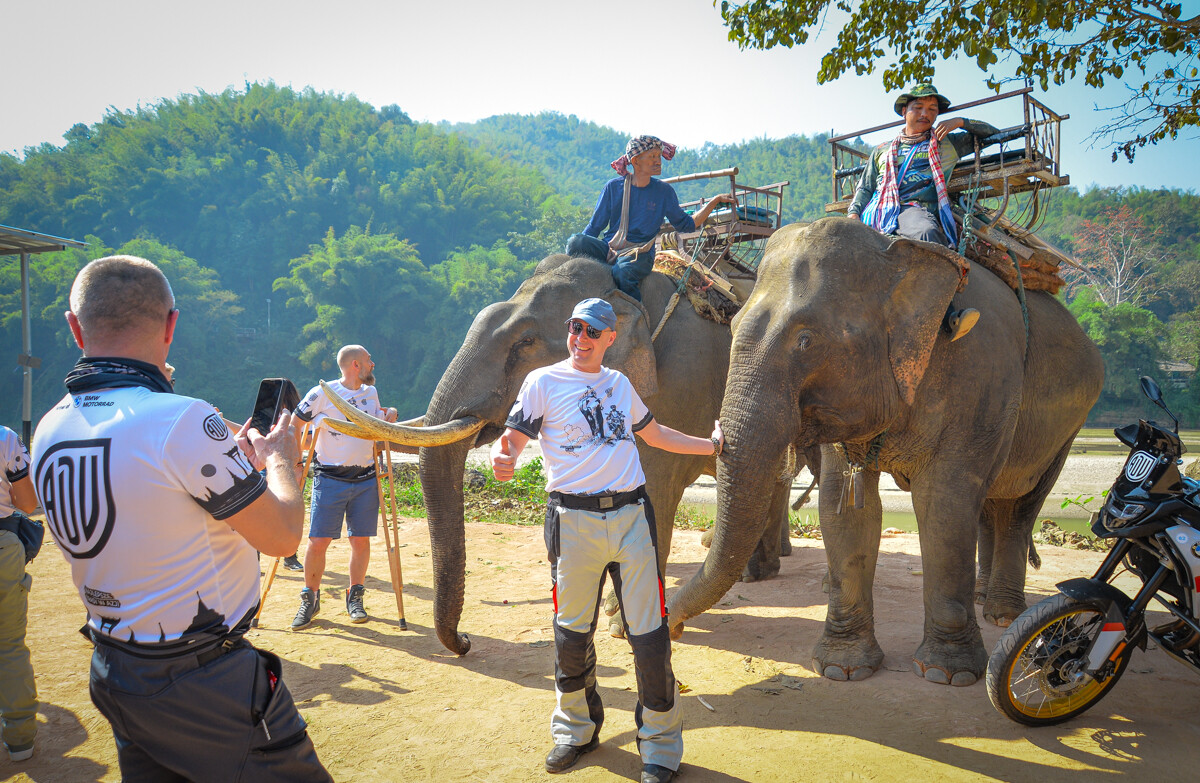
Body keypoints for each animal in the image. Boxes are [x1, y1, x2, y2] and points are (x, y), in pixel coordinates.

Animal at [326, 253, 792, 654]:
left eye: (526, 342)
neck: (630, 293)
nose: (466, 642)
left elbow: (656, 491)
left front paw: (625, 625)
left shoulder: (679, 386)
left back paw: (758, 571)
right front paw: (611, 611)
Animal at [665, 218, 1104, 686]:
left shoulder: (978, 380)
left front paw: (947, 675)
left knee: (1021, 503)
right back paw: (984, 597)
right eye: (730, 329)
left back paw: (1002, 615)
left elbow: (943, 503)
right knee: (989, 501)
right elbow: (843, 506)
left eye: (806, 340)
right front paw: (843, 668)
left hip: (1068, 425)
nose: (673, 626)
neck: (898, 254)